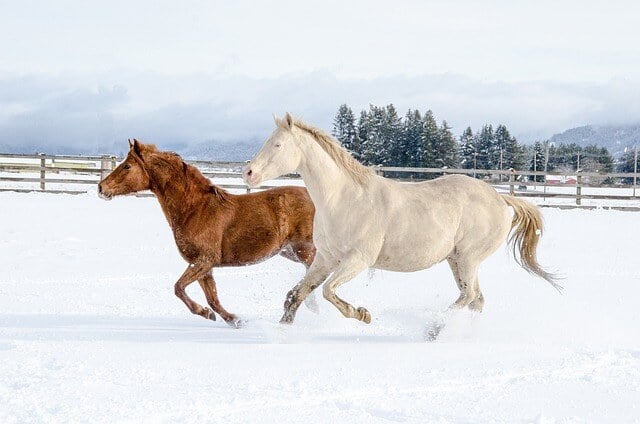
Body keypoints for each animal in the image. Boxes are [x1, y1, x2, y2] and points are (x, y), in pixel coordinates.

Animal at [99, 140, 316, 328]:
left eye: (127, 166)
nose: (101, 188)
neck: (195, 208)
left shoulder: (204, 260)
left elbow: (179, 288)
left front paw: (207, 313)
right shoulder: (204, 266)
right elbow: (212, 299)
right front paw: (233, 319)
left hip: (304, 249)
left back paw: (293, 306)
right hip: (289, 251)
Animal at [242, 112, 556, 324]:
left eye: (278, 145)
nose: (248, 173)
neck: (344, 199)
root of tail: (500, 198)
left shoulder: (358, 260)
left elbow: (329, 291)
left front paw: (362, 314)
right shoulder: (325, 258)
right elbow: (298, 293)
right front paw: (283, 329)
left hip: (468, 258)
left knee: (468, 297)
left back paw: (435, 328)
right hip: (456, 260)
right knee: (475, 299)